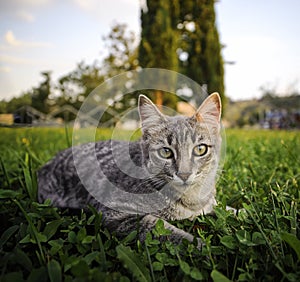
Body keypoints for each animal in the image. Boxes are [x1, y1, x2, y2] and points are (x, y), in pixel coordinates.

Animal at [37, 93, 221, 246]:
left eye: (200, 149)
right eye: (166, 152)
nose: (184, 174)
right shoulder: (117, 213)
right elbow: (162, 231)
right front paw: (200, 247)